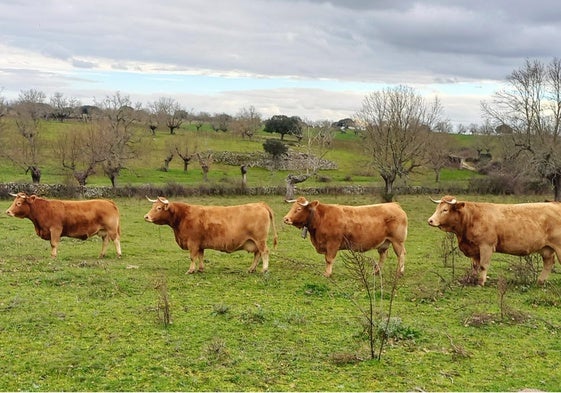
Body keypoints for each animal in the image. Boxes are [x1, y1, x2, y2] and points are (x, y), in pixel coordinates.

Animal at [143, 196, 276, 272]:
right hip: (255, 241)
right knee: (257, 254)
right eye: (153, 206)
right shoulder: (200, 244)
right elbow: (200, 256)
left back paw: (264, 269)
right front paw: (201, 269)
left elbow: (192, 257)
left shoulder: (192, 242)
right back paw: (251, 269)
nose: (146, 217)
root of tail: (260, 204)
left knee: (264, 252)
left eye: (159, 208)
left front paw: (191, 270)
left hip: (260, 240)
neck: (183, 216)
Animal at [426, 195, 560, 284]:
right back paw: (540, 282)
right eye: (437, 208)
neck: (471, 218)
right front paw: (472, 279)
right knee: (548, 263)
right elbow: (475, 266)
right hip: (546, 249)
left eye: (445, 210)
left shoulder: (486, 246)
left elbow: (483, 265)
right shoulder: (475, 249)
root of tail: (555, 203)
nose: (430, 220)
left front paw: (481, 282)